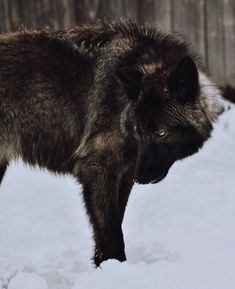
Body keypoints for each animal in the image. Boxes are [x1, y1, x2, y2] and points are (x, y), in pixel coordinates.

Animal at [0, 20, 224, 266]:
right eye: (140, 131)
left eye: (161, 133)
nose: (140, 178)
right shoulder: (97, 169)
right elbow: (112, 234)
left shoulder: (124, 175)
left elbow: (107, 233)